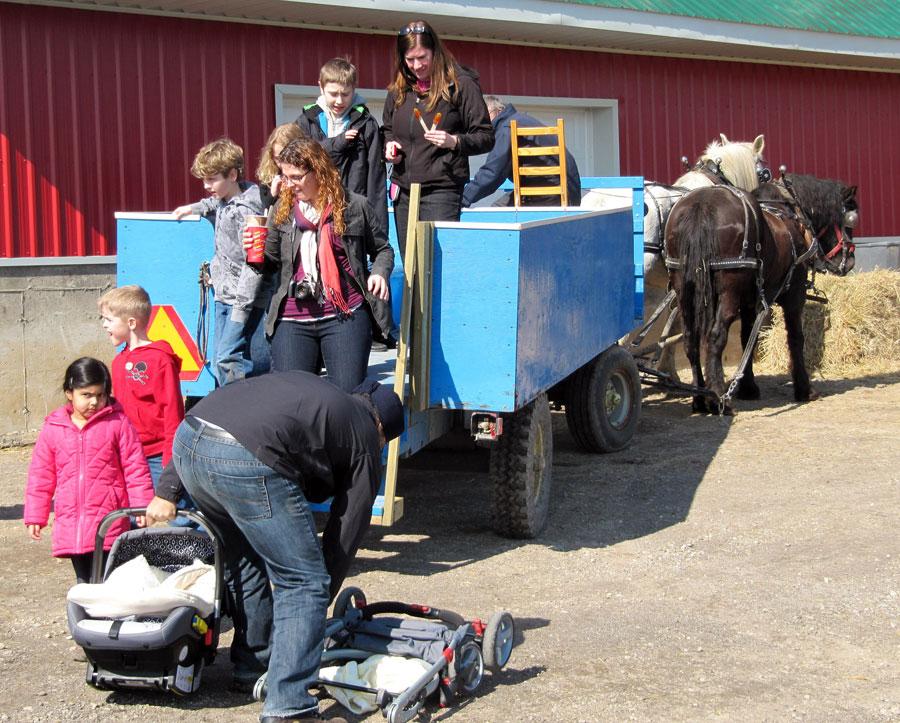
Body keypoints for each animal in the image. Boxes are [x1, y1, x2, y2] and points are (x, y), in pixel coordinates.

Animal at [664, 173, 860, 416]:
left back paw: (700, 397)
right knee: (715, 336)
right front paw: (804, 389)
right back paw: (719, 397)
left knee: (690, 339)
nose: (849, 261)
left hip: (685, 290)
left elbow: (748, 337)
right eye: (849, 219)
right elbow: (795, 338)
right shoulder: (794, 294)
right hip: (729, 291)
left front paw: (748, 387)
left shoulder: (750, 301)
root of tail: (702, 205)